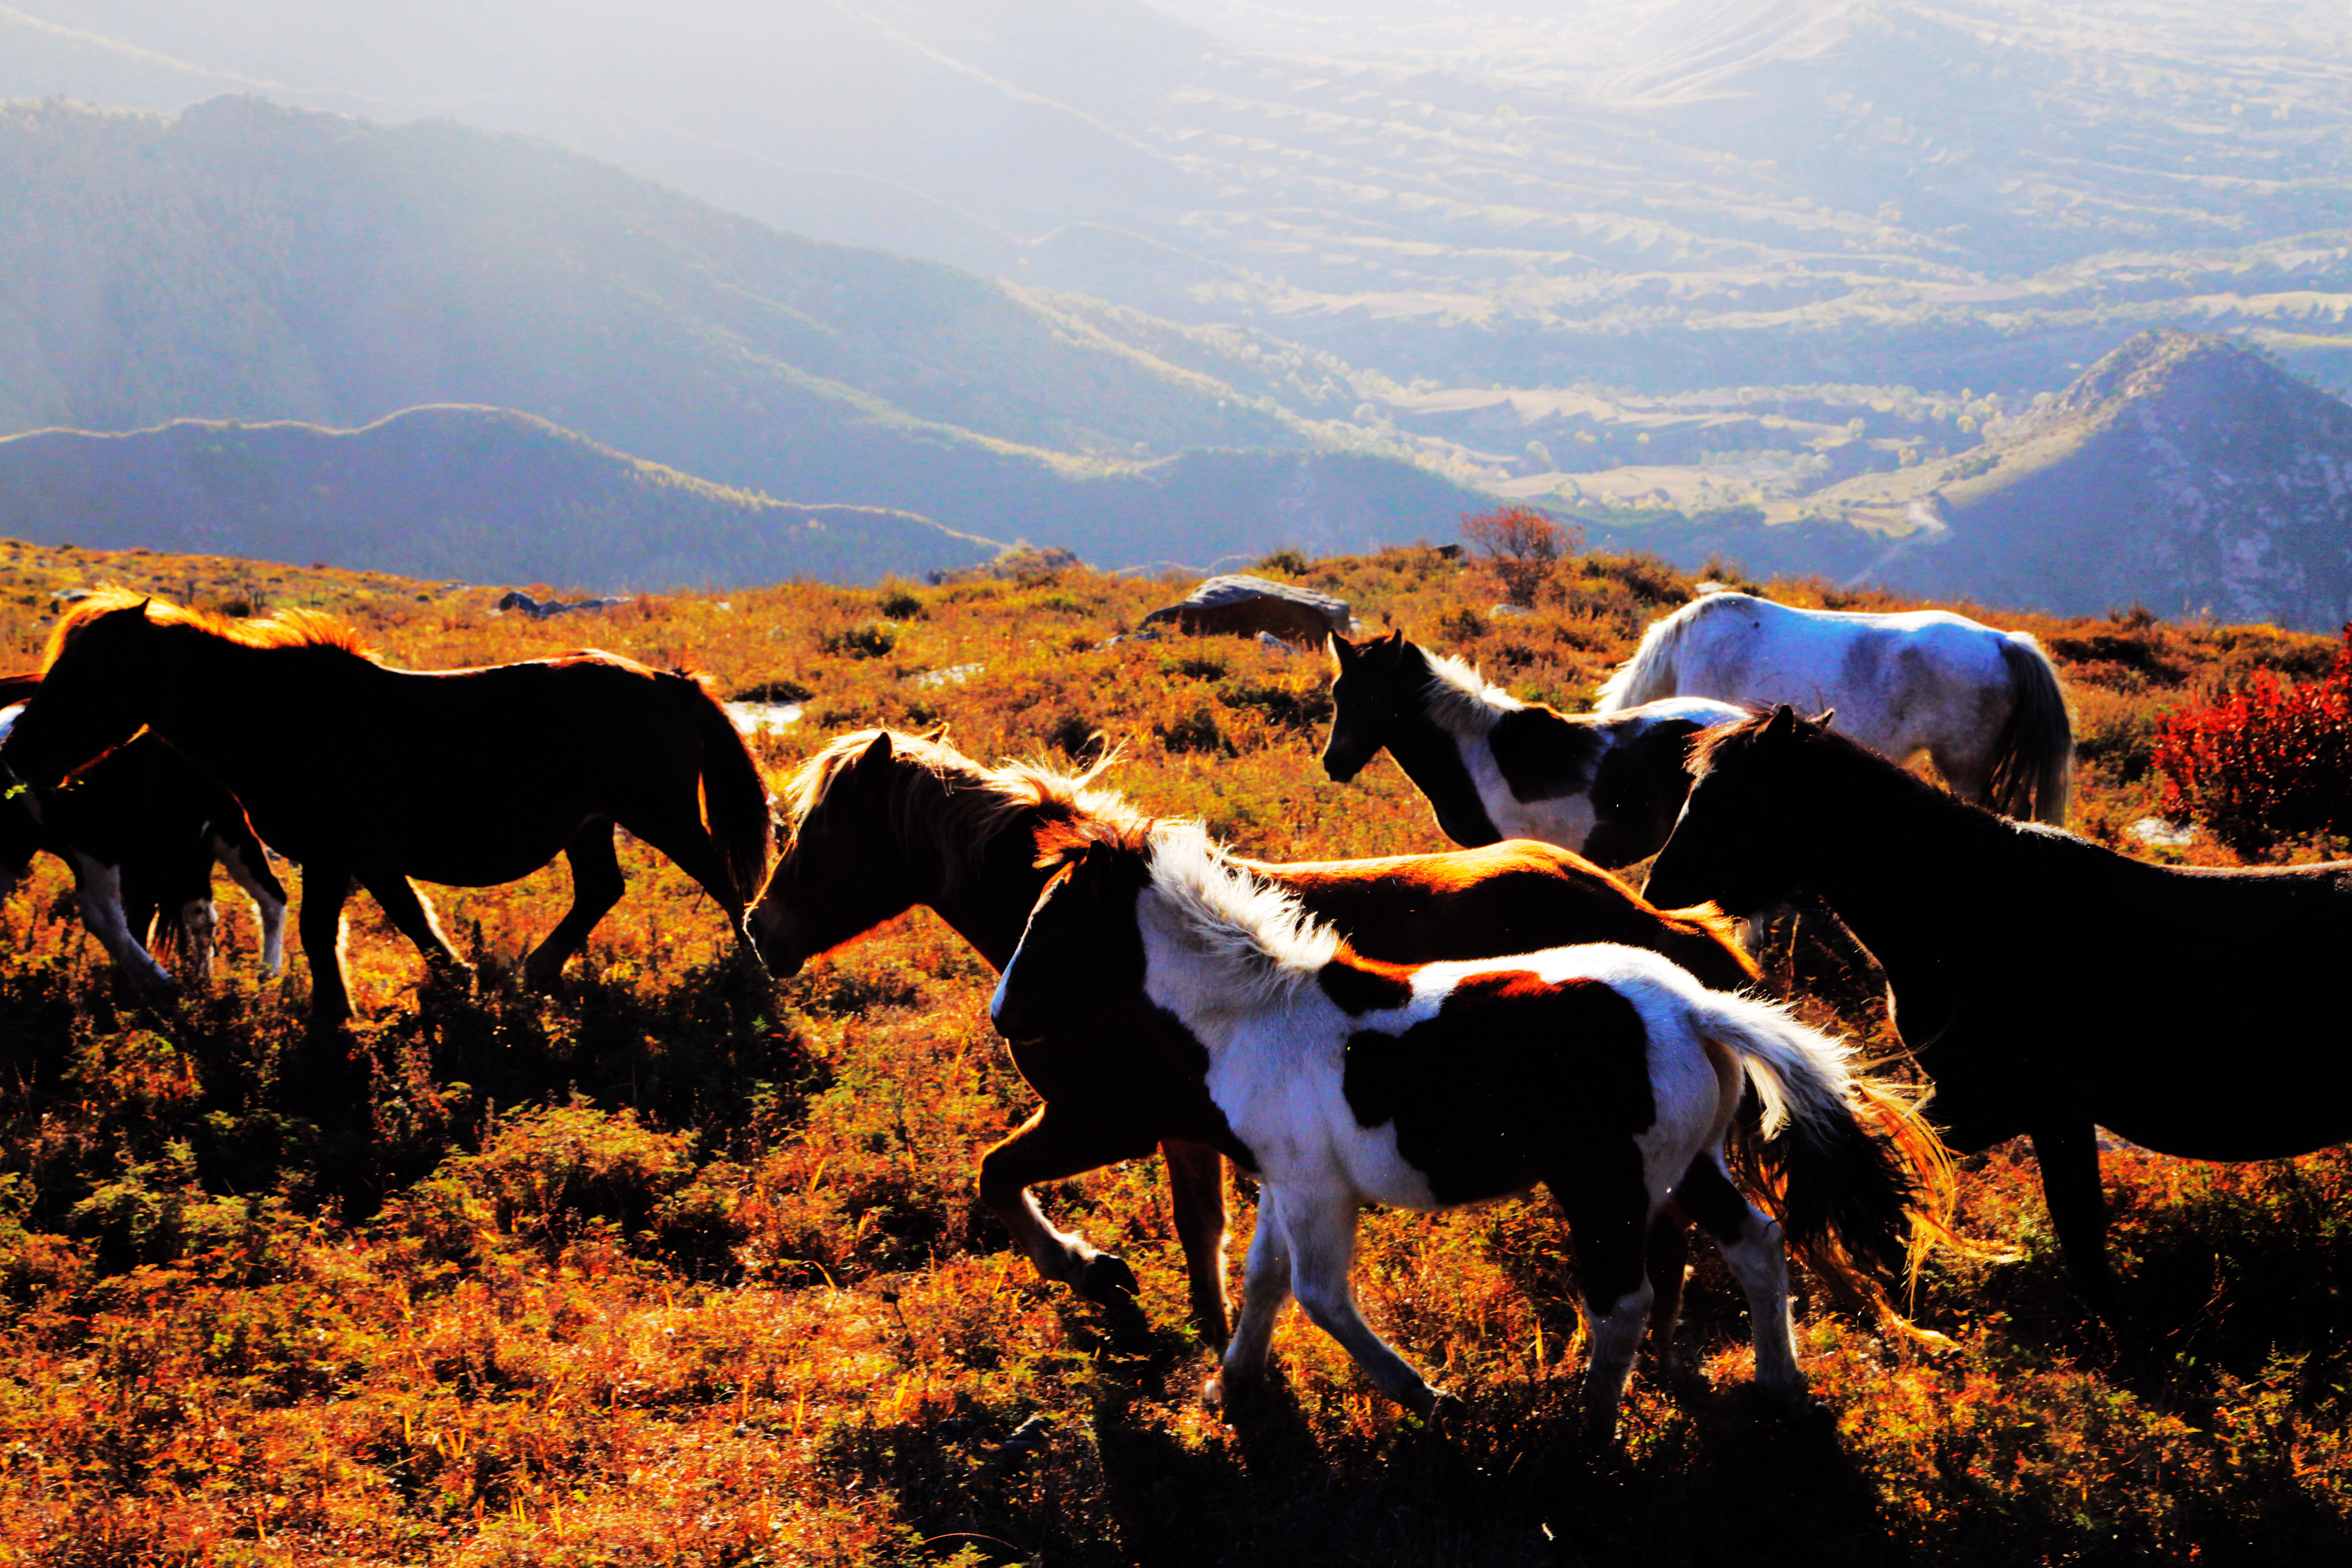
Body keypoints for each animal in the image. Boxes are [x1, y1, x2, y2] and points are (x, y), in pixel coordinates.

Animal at [1646, 710, 2352, 1326]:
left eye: (1727, 798)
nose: (1656, 889)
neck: (1980, 914)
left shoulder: (2019, 1104)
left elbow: (2072, 1228)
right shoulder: (2016, 1108)